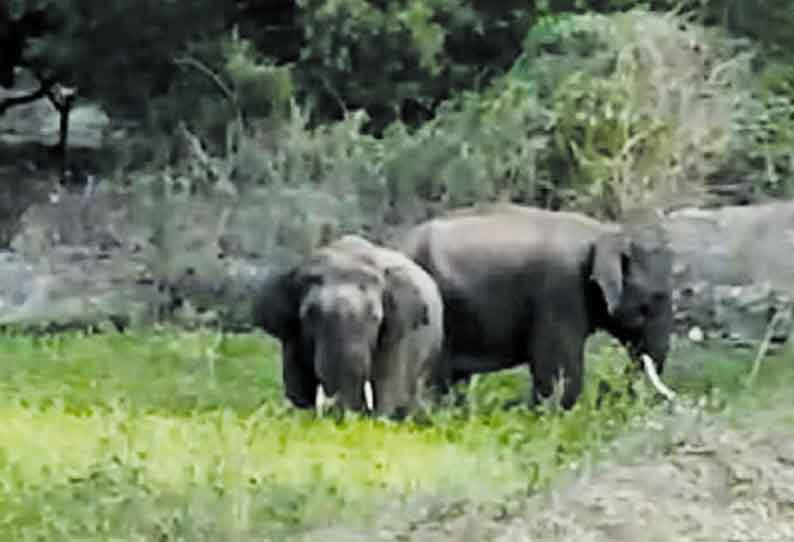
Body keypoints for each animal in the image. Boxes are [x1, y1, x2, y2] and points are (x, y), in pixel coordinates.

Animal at [251, 235, 442, 420]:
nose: (335, 414)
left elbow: (387, 382)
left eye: (375, 318)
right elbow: (299, 383)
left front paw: (377, 420)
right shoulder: (293, 333)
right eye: (309, 315)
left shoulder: (398, 329)